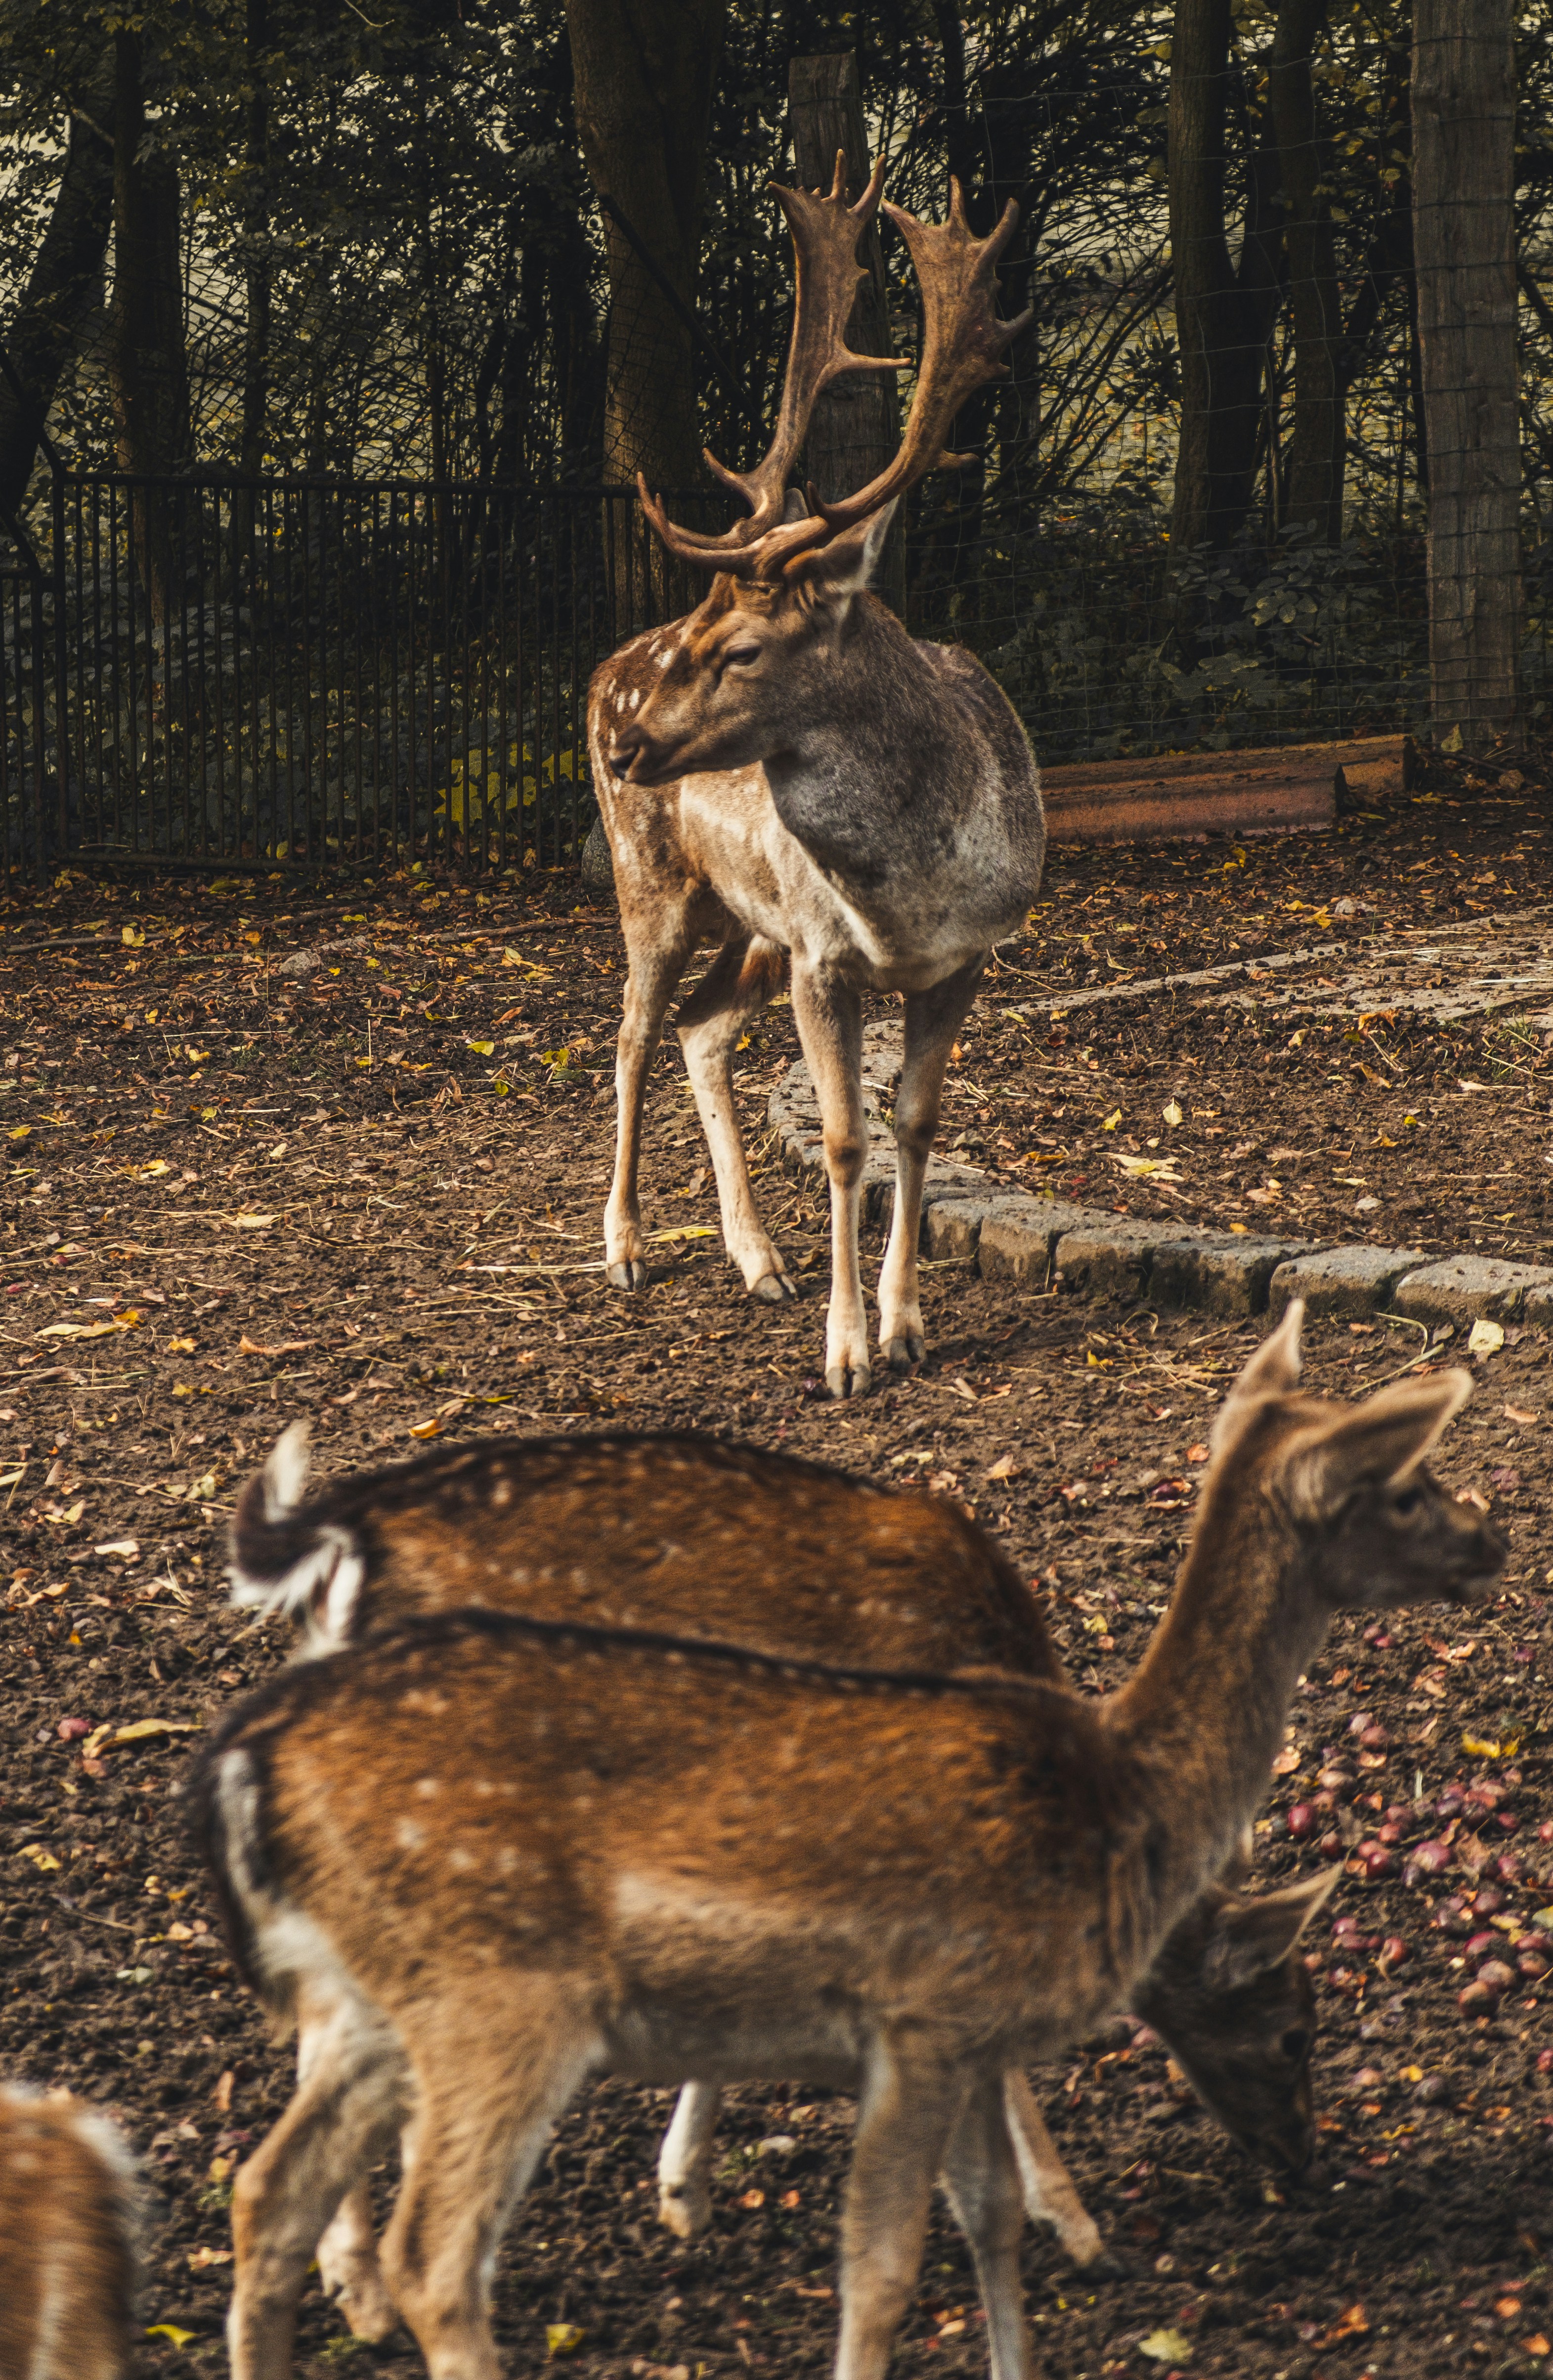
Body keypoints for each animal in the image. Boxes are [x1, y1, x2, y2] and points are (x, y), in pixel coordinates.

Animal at [199, 1305, 1504, 2380]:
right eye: (1291, 2025)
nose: (1303, 2161)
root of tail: (335, 1537)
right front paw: (1080, 2227)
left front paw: (683, 2185)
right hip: (487, 1977)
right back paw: (369, 2285)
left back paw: (345, 2284)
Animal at [588, 156, 1044, 1399]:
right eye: (700, 622)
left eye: (743, 646)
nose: (630, 742)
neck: (914, 886)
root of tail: (602, 666)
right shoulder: (822, 958)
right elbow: (844, 1140)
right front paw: (846, 1354)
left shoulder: (964, 957)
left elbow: (914, 1125)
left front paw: (904, 1325)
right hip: (653, 882)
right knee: (630, 1032)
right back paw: (625, 1244)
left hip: (750, 922)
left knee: (697, 1029)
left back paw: (756, 1259)